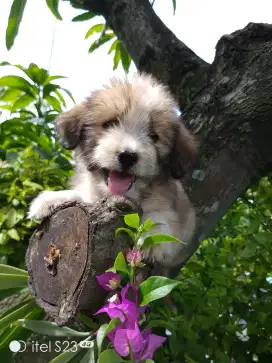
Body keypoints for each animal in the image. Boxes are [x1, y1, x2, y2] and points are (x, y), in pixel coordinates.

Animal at [28, 74, 197, 272]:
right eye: (109, 124)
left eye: (153, 136)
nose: (127, 156)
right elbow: (82, 197)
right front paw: (50, 200)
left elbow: (159, 215)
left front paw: (153, 239)